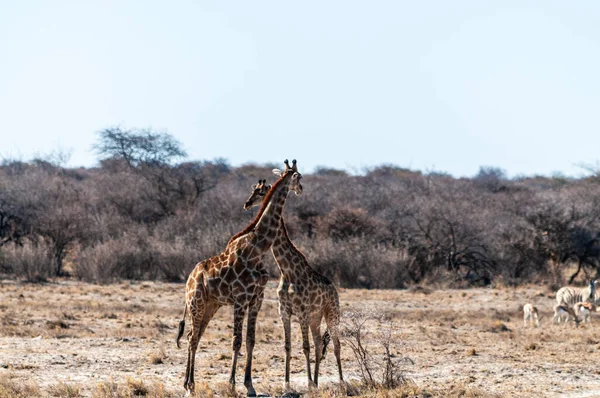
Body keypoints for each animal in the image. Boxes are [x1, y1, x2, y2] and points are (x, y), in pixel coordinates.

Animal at [176, 160, 302, 396]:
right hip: (196, 303)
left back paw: (189, 384)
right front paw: (232, 384)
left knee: (192, 336)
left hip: (210, 305)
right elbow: (236, 341)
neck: (258, 248)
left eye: (261, 190)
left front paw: (249, 385)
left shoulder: (256, 299)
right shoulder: (241, 299)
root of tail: (189, 279)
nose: (301, 189)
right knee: (192, 337)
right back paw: (189, 386)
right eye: (299, 177)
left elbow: (251, 340)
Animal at [244, 179, 344, 390]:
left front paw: (306, 383)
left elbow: (304, 347)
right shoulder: (284, 311)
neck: (286, 270)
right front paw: (287, 383)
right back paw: (316, 381)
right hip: (316, 317)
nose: (247, 203)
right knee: (318, 344)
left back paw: (340, 381)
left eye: (261, 192)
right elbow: (288, 347)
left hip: (331, 313)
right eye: (253, 190)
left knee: (336, 344)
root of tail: (334, 290)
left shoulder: (302, 311)